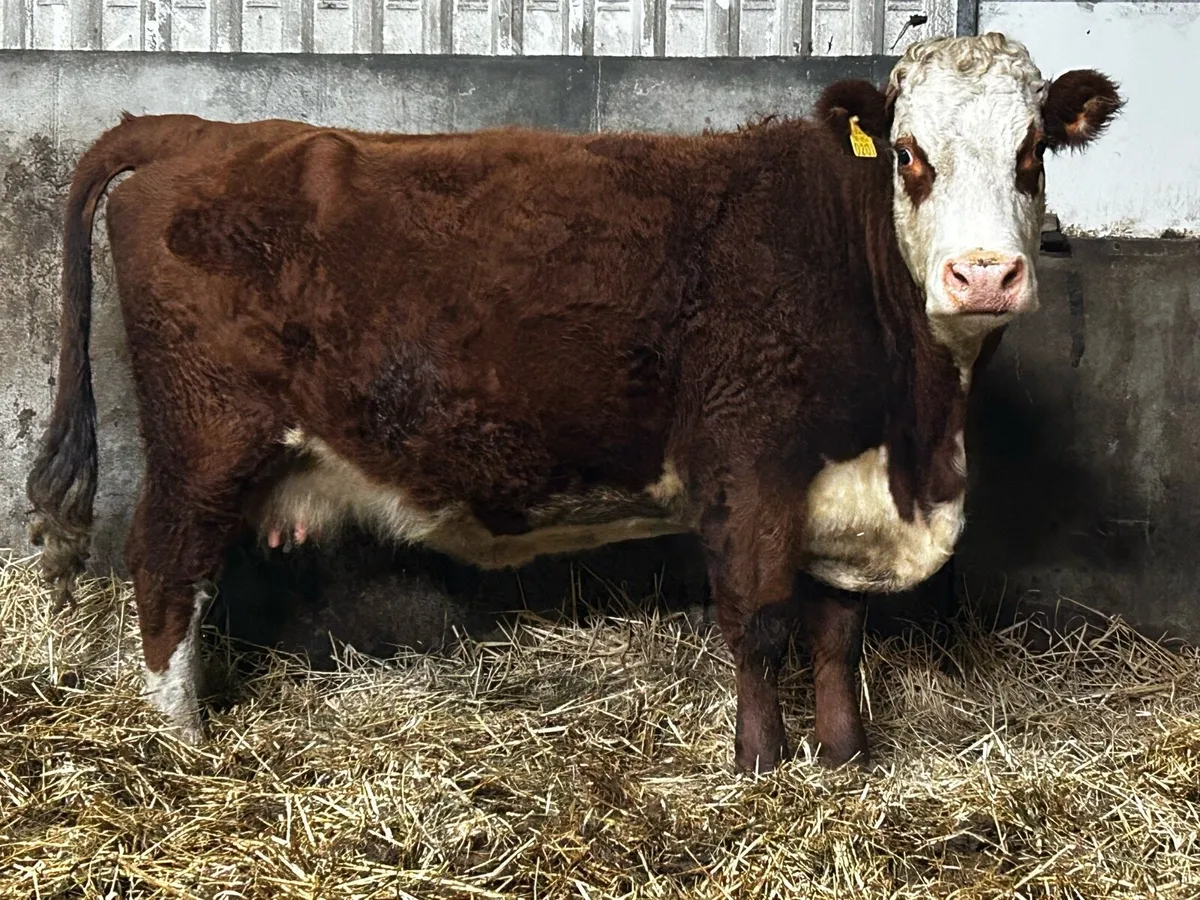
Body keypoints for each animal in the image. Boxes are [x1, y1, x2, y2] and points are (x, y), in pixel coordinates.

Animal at [25, 33, 1121, 773]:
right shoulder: (747, 463)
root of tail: (196, 131)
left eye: (1033, 152)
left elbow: (837, 630)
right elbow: (759, 621)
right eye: (907, 153)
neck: (916, 430)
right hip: (205, 438)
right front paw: (761, 766)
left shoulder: (840, 485)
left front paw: (847, 759)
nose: (985, 276)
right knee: (164, 566)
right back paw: (181, 742)